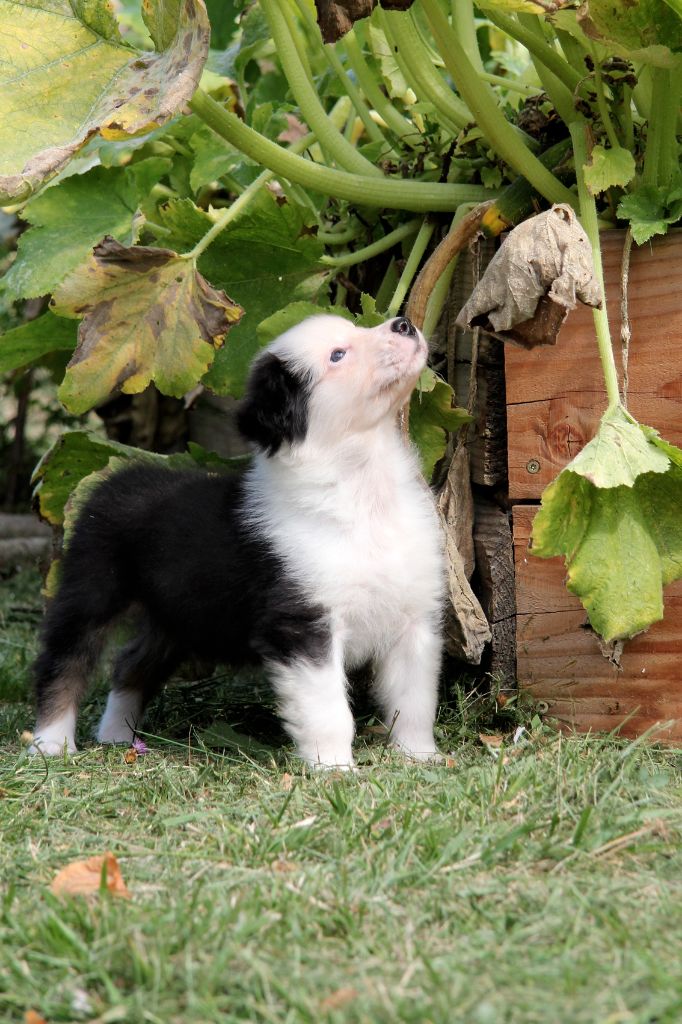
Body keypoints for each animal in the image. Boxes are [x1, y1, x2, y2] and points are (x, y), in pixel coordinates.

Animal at [30, 315, 445, 768]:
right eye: (338, 354)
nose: (404, 324)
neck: (363, 488)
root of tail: (120, 477)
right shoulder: (303, 623)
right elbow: (328, 707)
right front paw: (334, 767)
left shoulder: (414, 617)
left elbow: (416, 699)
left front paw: (420, 757)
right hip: (93, 590)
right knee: (63, 662)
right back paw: (51, 742)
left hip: (178, 616)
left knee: (130, 664)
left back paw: (117, 736)